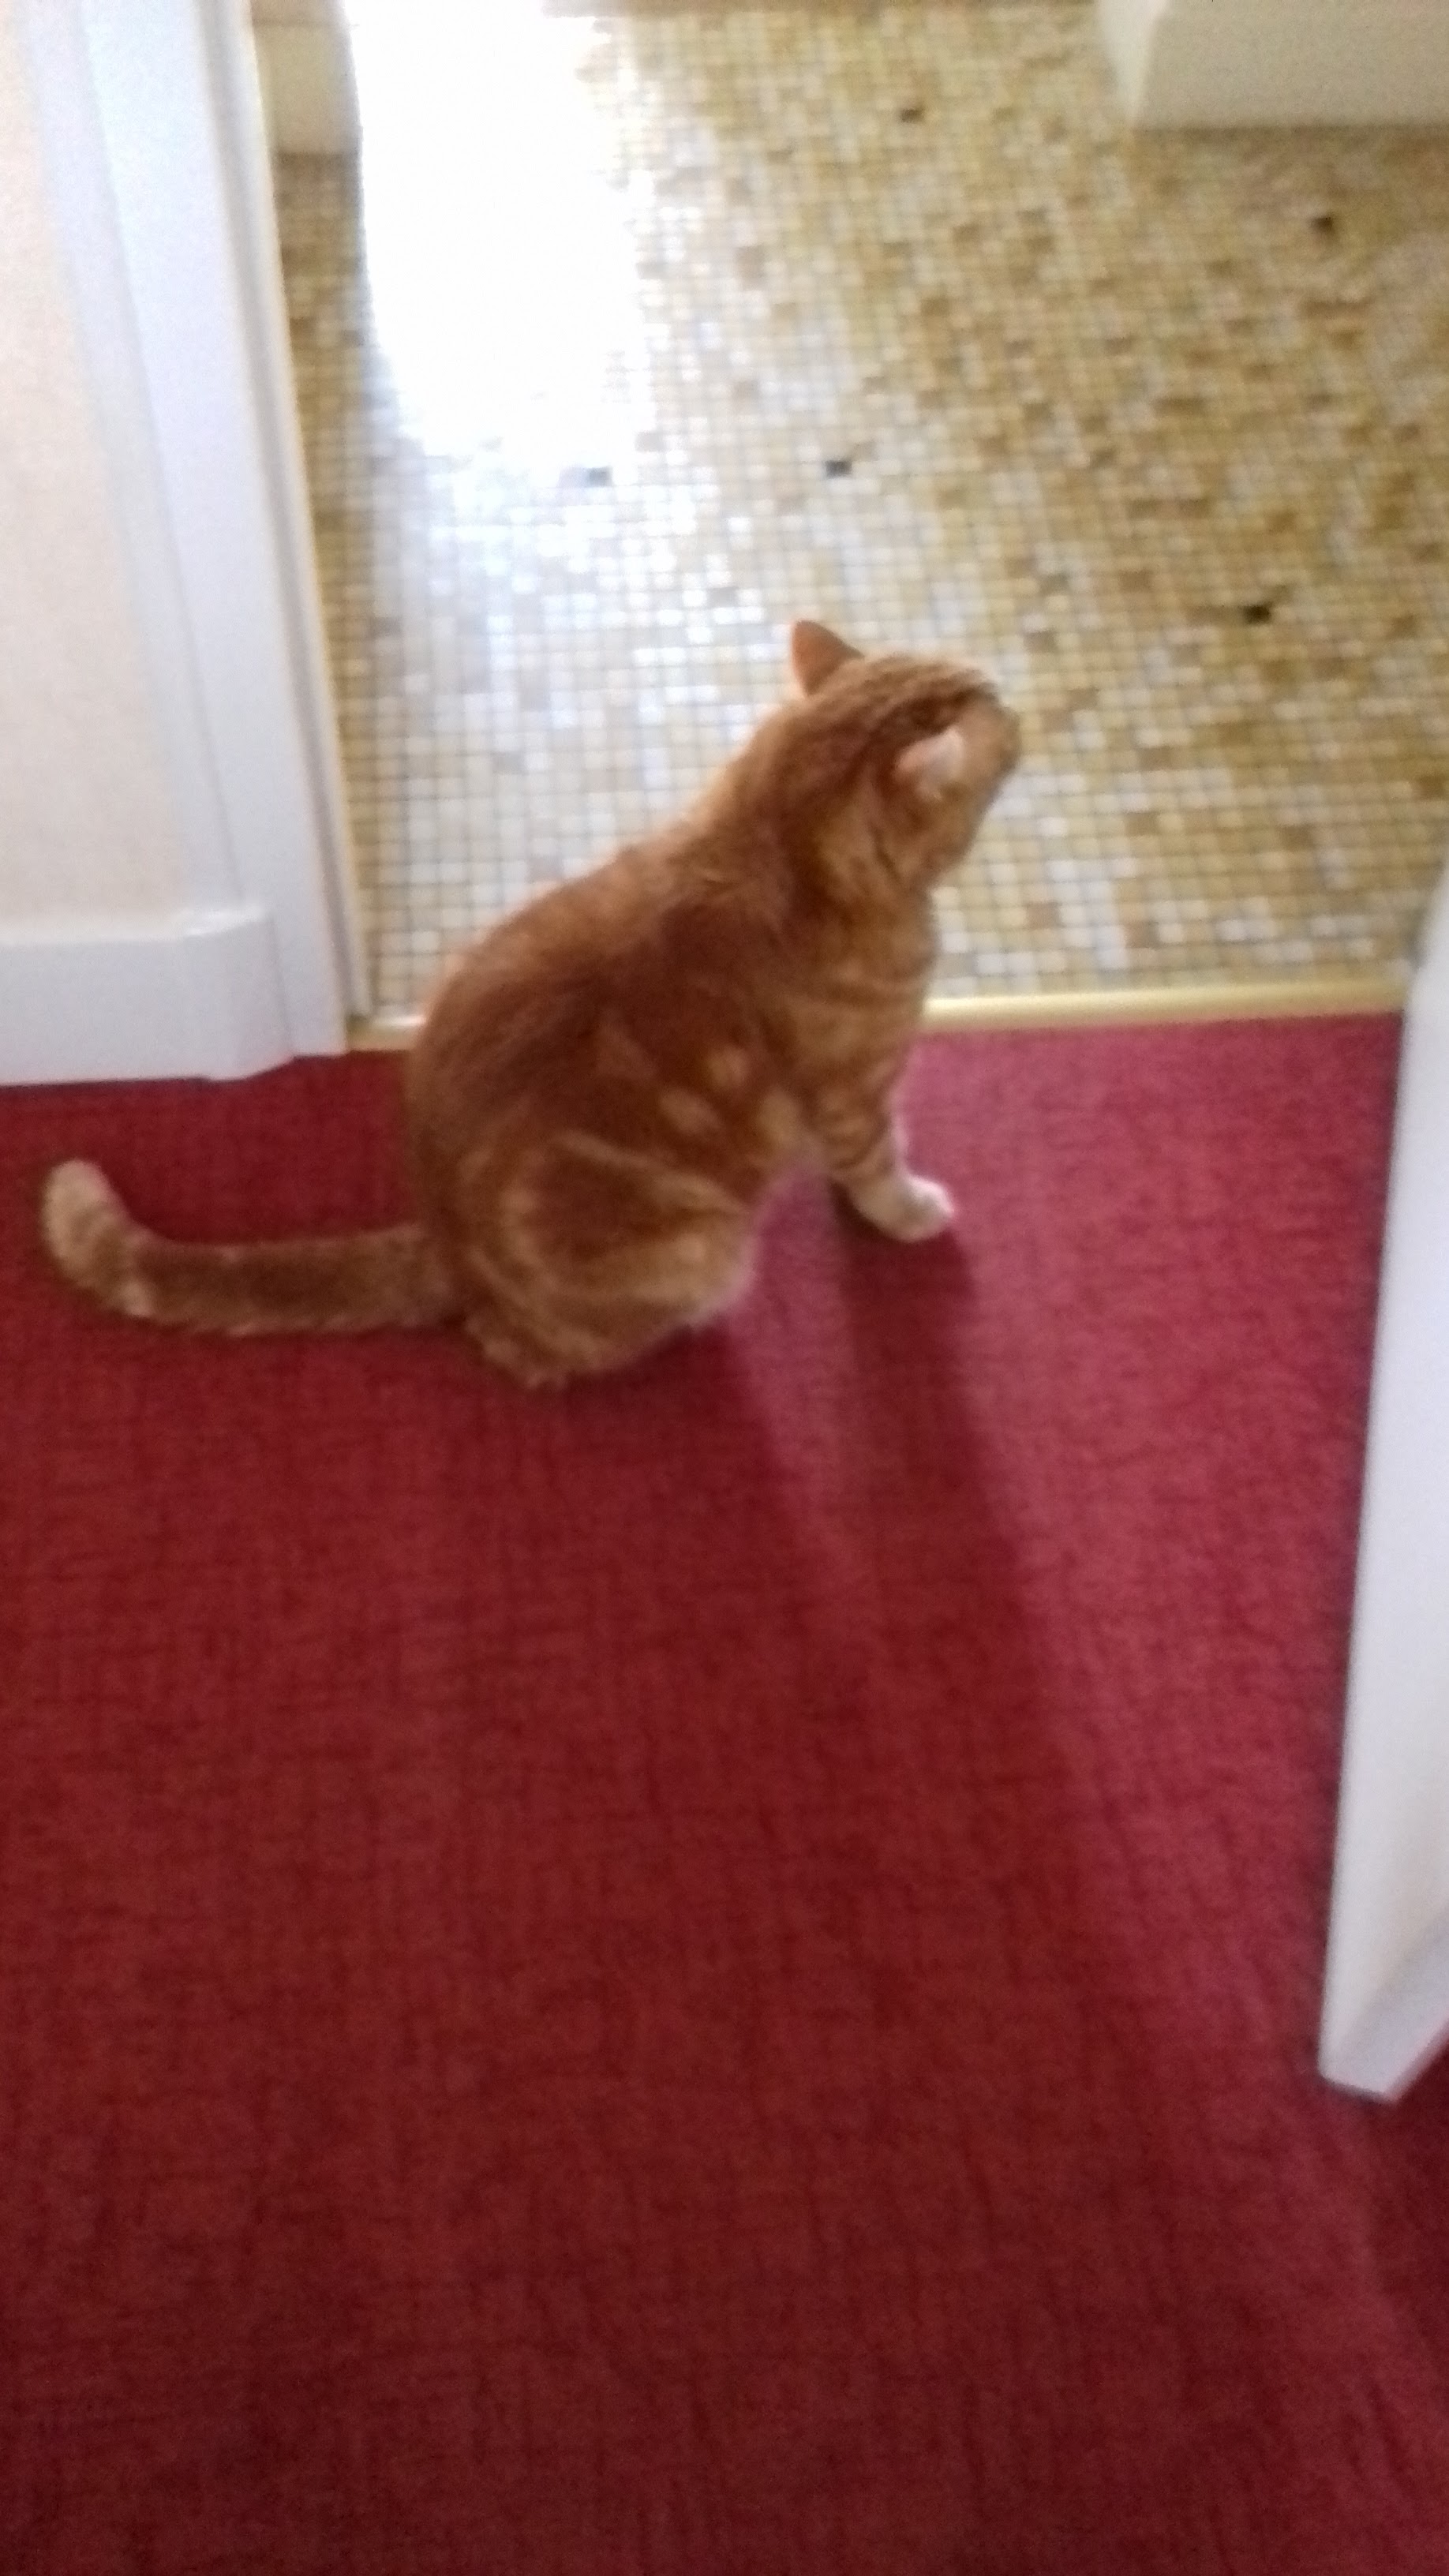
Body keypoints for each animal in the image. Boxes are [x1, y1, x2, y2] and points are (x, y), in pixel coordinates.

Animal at [41, 620, 1020, 1387]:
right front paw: (910, 1214)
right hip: (700, 1243)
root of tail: (447, 1245)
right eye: (990, 704)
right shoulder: (856, 1090)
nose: (1011, 693)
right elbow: (879, 1165)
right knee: (519, 1351)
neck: (774, 843)